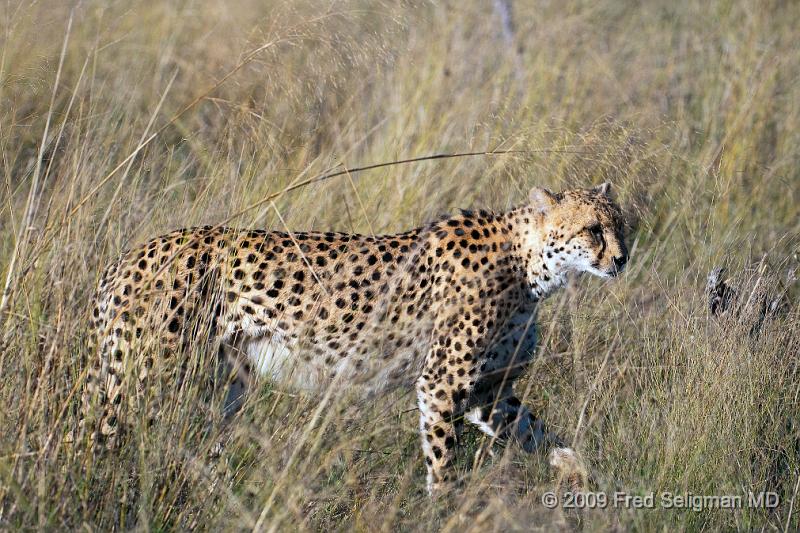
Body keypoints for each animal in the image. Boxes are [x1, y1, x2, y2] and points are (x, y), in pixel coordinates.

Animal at [83, 183, 632, 494]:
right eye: (593, 229)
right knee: (107, 443)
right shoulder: (441, 385)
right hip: (147, 379)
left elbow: (544, 436)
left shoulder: (488, 391)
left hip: (223, 384)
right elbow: (444, 463)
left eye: (623, 225)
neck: (530, 262)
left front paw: (590, 478)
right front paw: (443, 507)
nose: (623, 258)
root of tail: (131, 253)